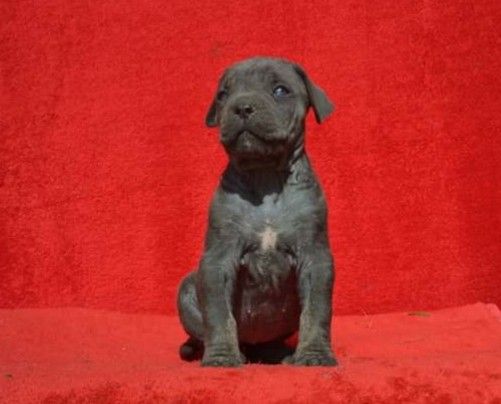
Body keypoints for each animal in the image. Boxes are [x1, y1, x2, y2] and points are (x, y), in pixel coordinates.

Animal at [177, 56, 337, 367]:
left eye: (280, 90)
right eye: (223, 95)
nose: (242, 107)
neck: (265, 176)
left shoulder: (315, 258)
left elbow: (316, 312)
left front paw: (314, 354)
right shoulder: (217, 260)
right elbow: (218, 315)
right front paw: (222, 356)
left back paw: (281, 354)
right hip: (187, 289)